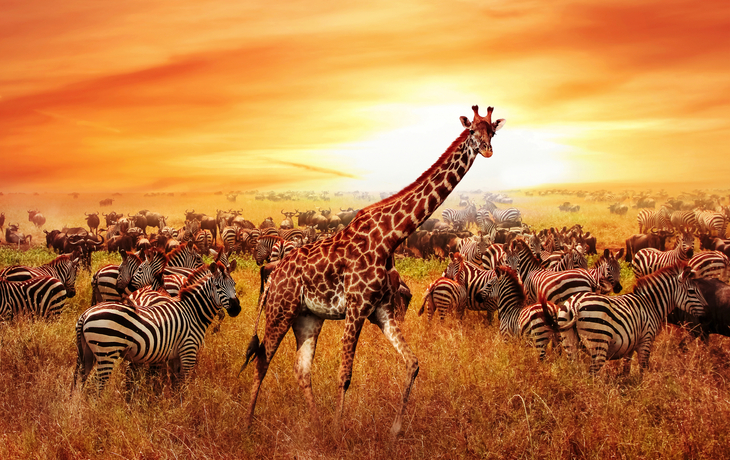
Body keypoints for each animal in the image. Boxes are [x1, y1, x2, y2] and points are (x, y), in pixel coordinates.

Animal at [73, 263, 241, 392]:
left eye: (234, 284)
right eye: (217, 286)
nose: (236, 308)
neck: (193, 312)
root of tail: (85, 314)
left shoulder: (175, 355)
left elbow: (175, 383)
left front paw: (173, 406)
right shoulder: (189, 350)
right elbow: (183, 384)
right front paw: (182, 407)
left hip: (88, 353)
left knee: (82, 381)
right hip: (107, 351)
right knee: (96, 384)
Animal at [242, 105, 506, 436]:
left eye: (492, 132)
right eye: (471, 131)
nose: (488, 149)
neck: (392, 235)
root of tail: (272, 273)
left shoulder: (381, 310)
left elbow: (413, 363)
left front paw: (394, 430)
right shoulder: (356, 306)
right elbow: (345, 374)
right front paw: (338, 433)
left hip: (307, 316)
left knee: (301, 369)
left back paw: (315, 426)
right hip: (281, 309)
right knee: (262, 360)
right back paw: (247, 426)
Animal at [556, 264, 706, 375]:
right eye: (692, 291)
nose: (706, 309)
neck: (651, 304)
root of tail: (575, 303)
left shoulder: (630, 344)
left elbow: (626, 367)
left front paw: (627, 386)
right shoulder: (646, 339)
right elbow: (643, 367)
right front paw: (642, 389)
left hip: (569, 341)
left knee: (574, 368)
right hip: (599, 342)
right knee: (592, 374)